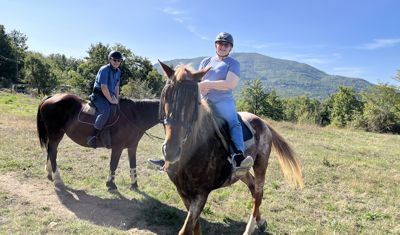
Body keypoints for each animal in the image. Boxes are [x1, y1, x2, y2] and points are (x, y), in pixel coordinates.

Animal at [158, 61, 304, 235]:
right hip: (241, 172)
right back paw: (260, 222)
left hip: (261, 164)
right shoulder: (183, 192)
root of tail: (262, 122)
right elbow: (195, 227)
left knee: (259, 192)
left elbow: (186, 229)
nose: (171, 151)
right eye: (166, 96)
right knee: (252, 187)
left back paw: (250, 229)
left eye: (194, 101)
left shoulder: (201, 194)